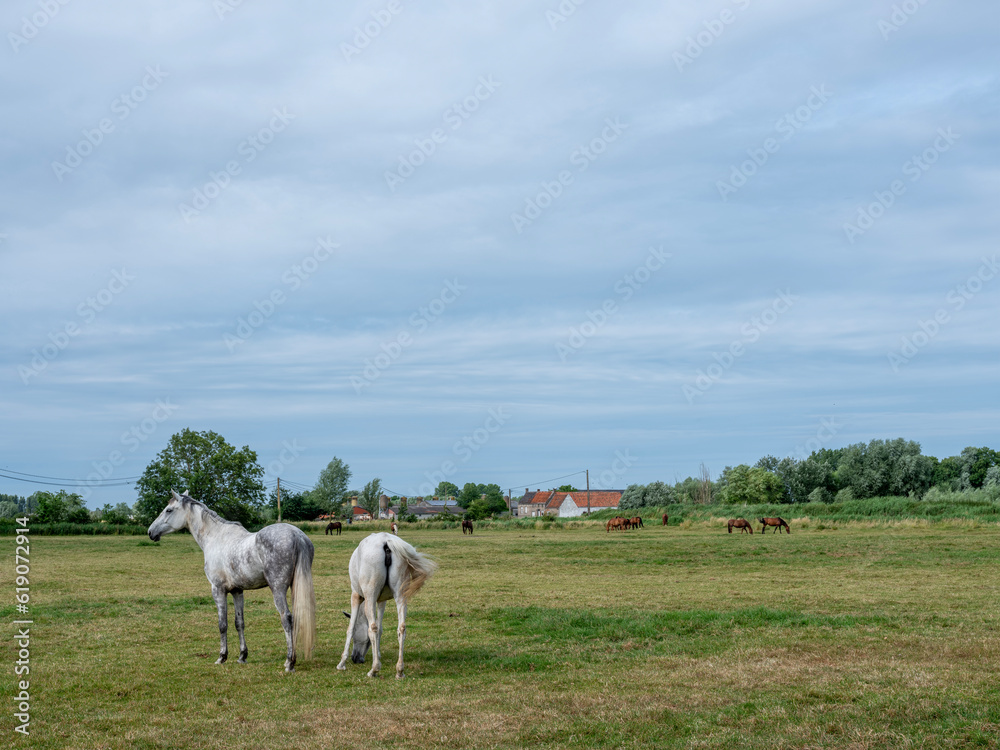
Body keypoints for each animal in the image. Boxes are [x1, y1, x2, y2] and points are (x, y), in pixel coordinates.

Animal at [147, 490, 316, 672]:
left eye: (169, 510)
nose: (150, 532)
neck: (215, 538)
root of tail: (297, 535)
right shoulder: (237, 591)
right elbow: (239, 622)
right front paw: (242, 656)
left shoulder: (218, 589)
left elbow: (223, 624)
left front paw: (222, 657)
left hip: (278, 589)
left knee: (287, 618)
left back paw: (289, 662)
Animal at [337, 532, 437, 678]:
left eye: (357, 634)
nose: (356, 659)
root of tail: (386, 542)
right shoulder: (381, 601)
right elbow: (381, 628)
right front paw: (378, 655)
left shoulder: (356, 596)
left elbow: (351, 628)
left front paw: (342, 663)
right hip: (400, 596)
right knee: (401, 628)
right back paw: (399, 671)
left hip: (370, 596)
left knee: (372, 628)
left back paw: (374, 670)